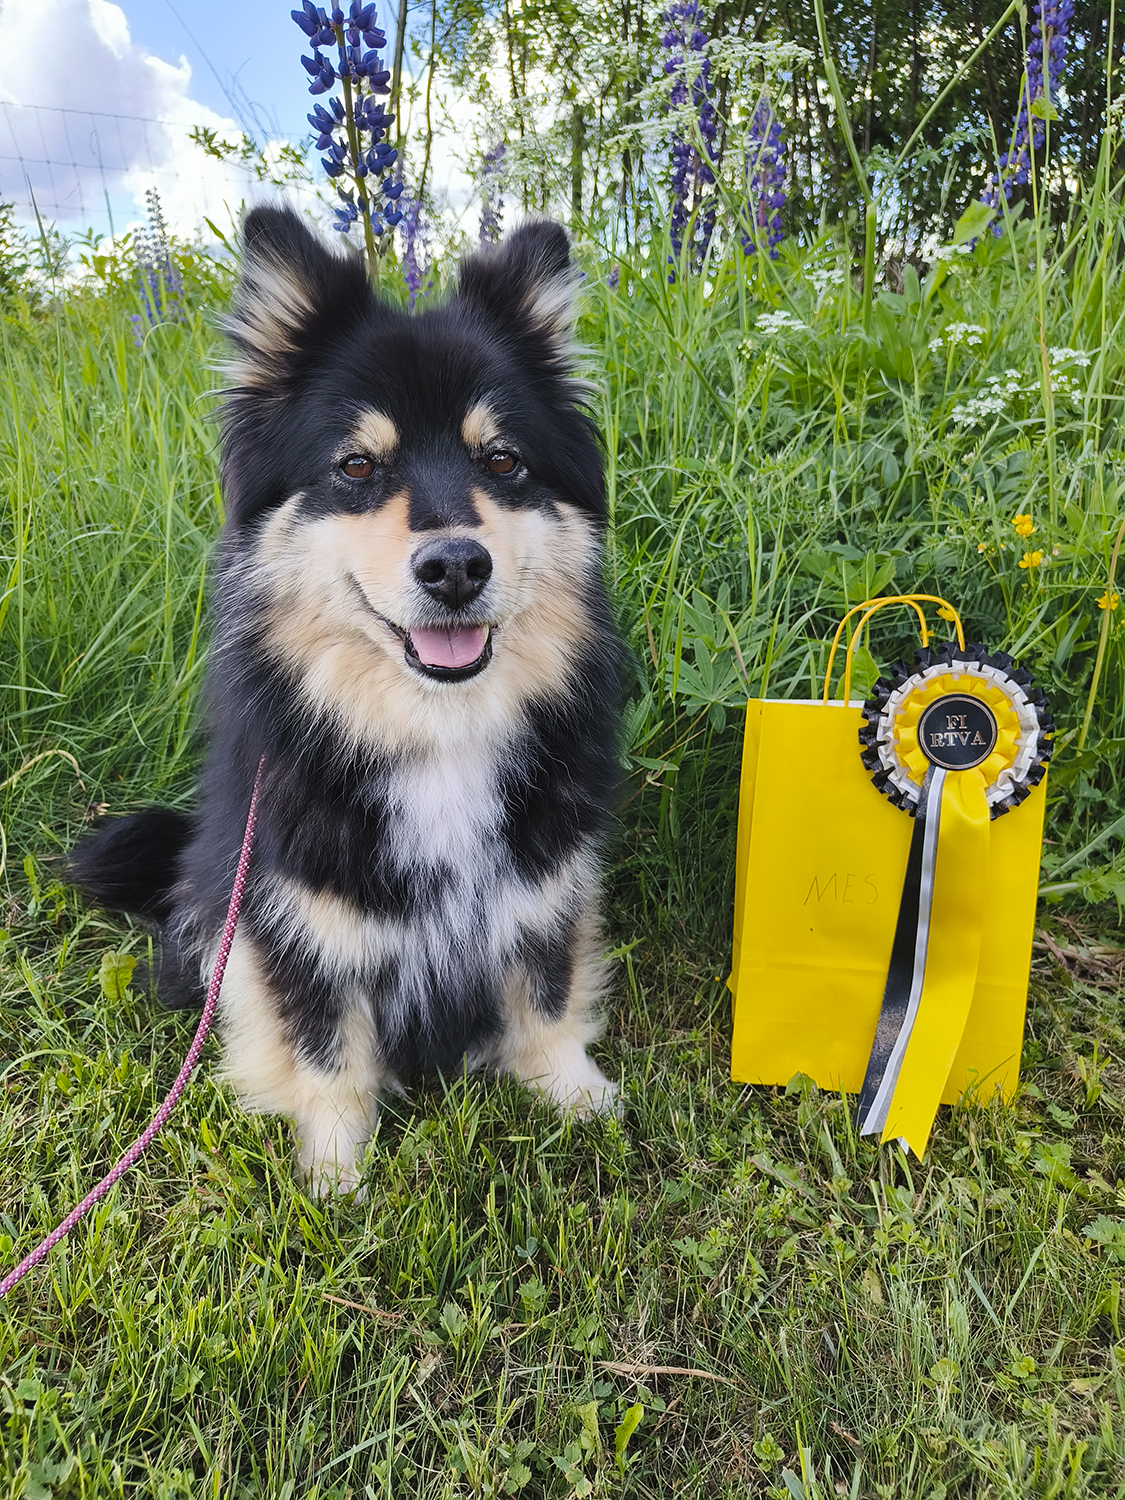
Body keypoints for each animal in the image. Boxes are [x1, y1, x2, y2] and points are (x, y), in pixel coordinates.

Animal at [68, 206, 625, 1192]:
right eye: (358, 466)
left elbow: (547, 993)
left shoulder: (543, 882)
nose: (455, 566)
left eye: (503, 459)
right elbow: (325, 1048)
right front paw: (334, 1174)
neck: (436, 731)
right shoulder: (296, 919)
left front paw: (575, 1095)